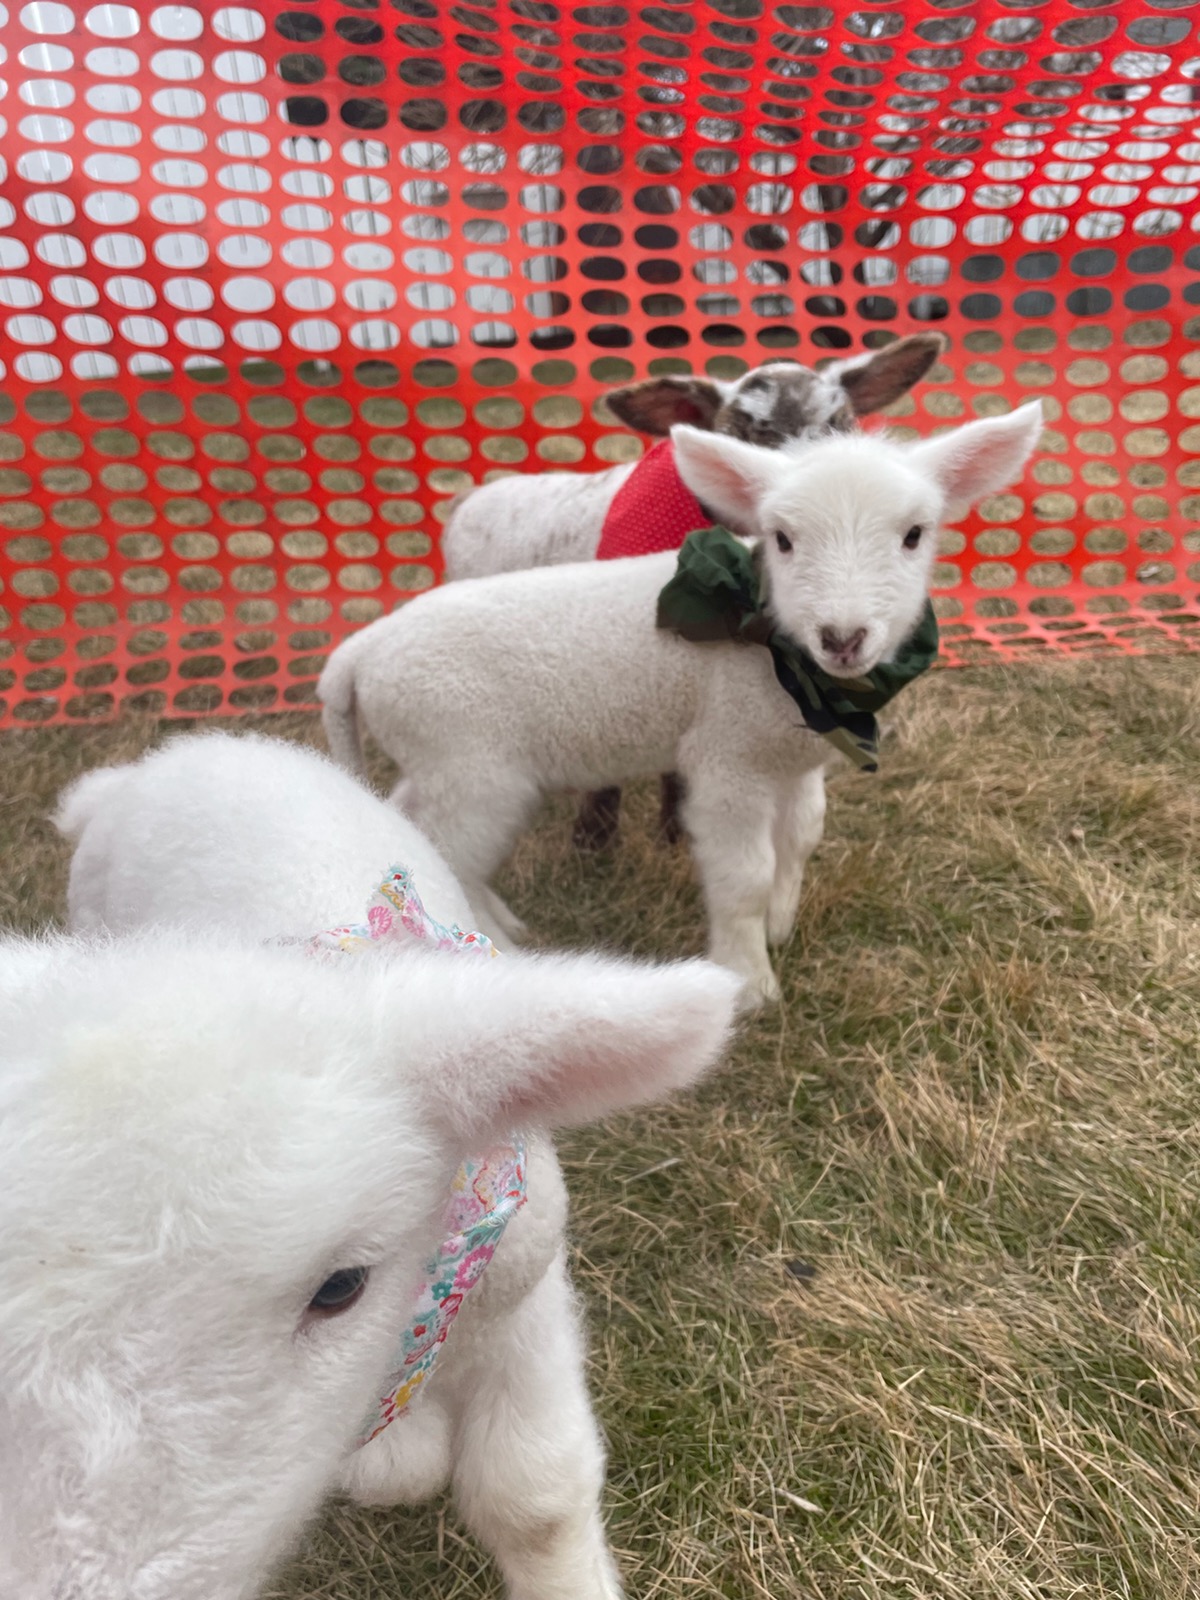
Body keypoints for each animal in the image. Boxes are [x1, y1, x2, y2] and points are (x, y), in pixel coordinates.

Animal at [319, 403, 1043, 1009]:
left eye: (914, 535)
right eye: (782, 539)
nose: (842, 638)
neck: (780, 655)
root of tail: (358, 654)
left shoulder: (796, 759)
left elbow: (803, 835)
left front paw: (781, 922)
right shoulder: (728, 760)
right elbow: (745, 874)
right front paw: (749, 982)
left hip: (440, 762)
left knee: (410, 821)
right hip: (473, 769)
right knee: (445, 847)